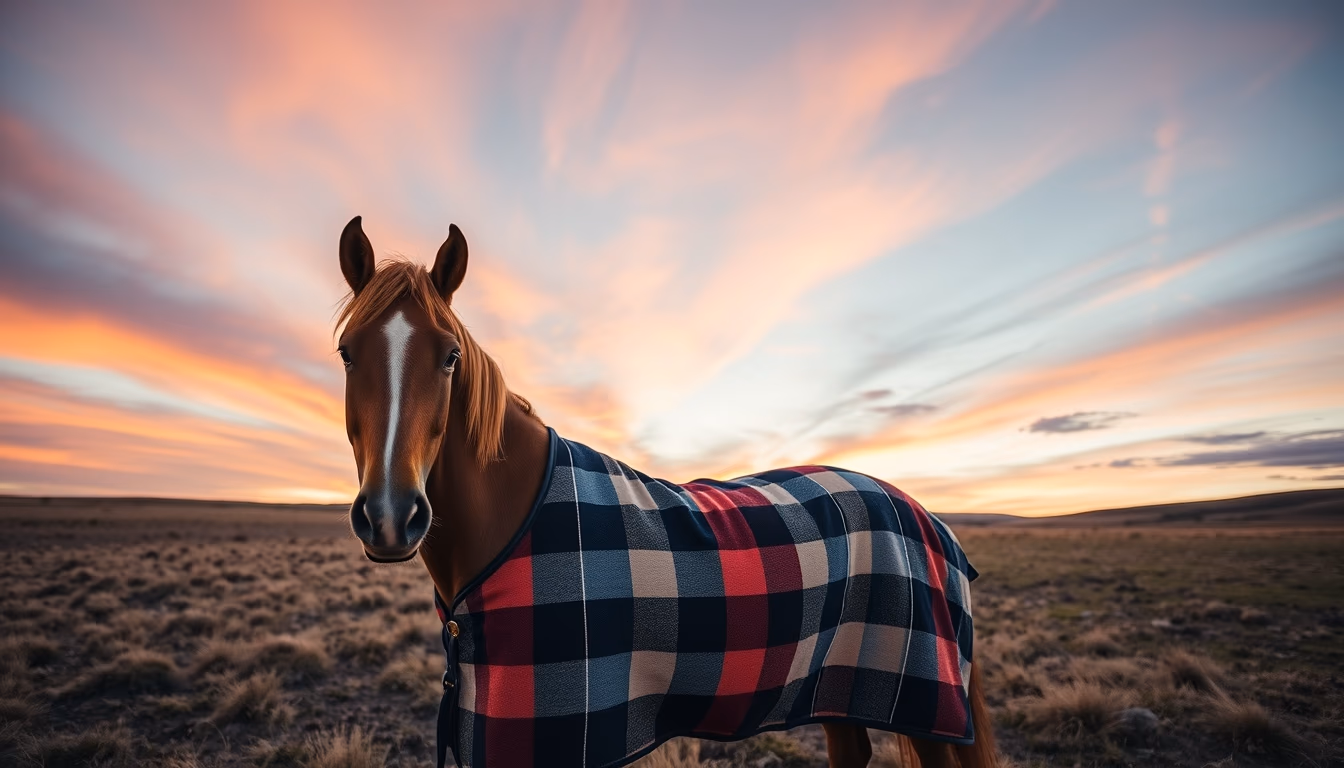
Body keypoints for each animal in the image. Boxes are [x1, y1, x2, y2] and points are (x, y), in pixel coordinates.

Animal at [333, 216, 998, 768]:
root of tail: (934, 523)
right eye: (346, 353)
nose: (390, 516)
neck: (515, 518)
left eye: (450, 356)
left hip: (923, 710)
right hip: (837, 688)